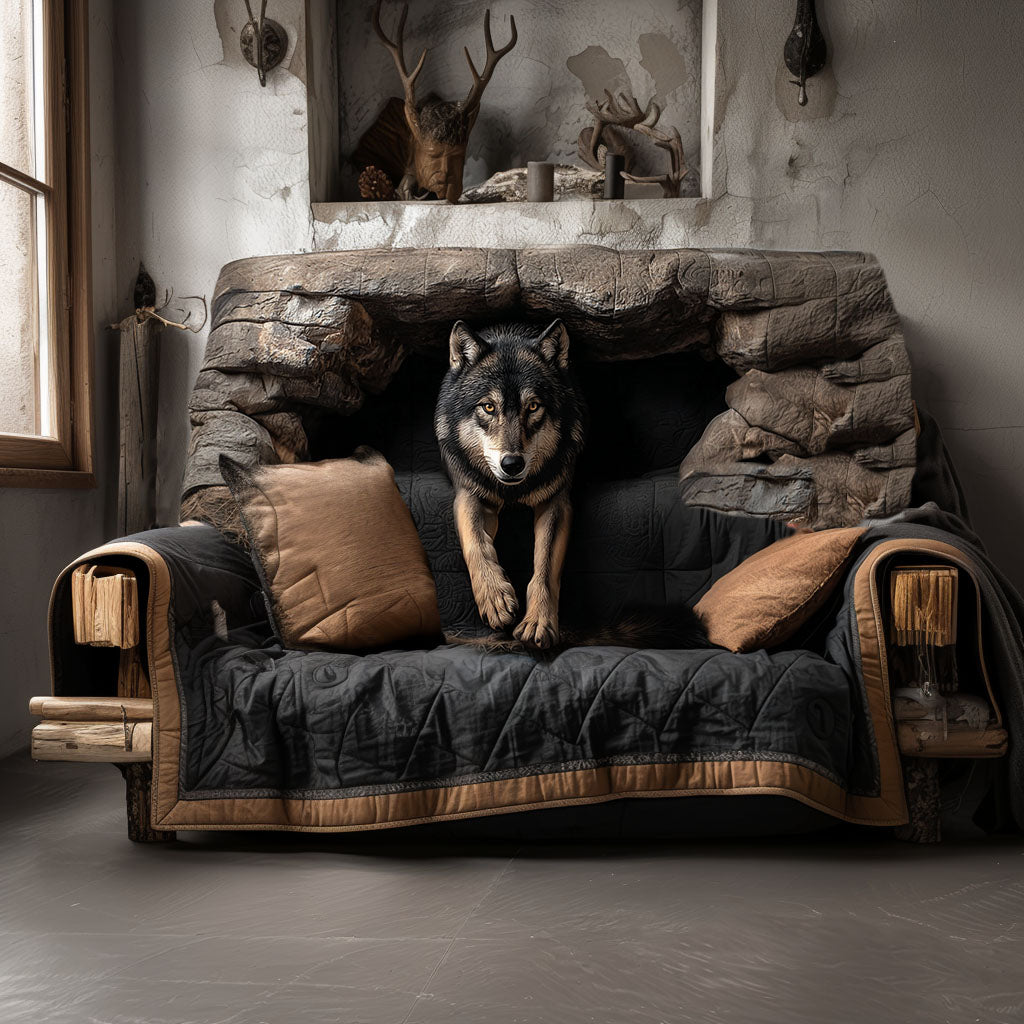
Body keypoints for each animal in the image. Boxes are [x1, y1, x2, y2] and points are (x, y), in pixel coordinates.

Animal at [434, 319, 585, 648]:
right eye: (489, 407)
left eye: (534, 407)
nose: (512, 464)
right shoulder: (470, 494)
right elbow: (476, 543)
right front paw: (495, 599)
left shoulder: (556, 500)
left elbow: (544, 565)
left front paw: (538, 622)